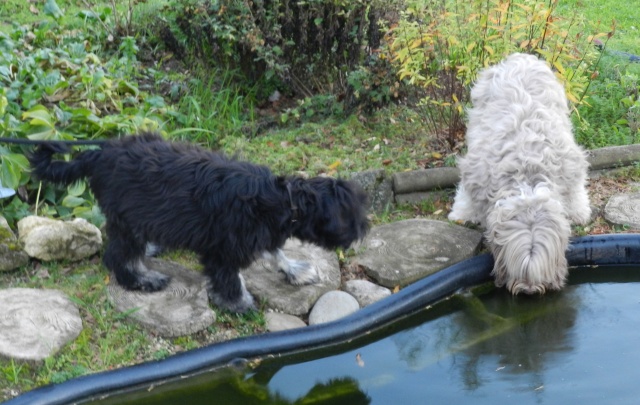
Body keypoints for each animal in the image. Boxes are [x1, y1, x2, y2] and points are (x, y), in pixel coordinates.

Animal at [30, 134, 370, 310]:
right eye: (350, 215)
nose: (364, 230)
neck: (282, 199)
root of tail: (97, 154)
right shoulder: (224, 247)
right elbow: (229, 277)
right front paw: (239, 304)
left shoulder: (255, 235)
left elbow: (275, 252)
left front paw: (295, 270)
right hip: (129, 217)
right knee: (117, 255)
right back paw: (142, 280)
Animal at [450, 52, 592, 294]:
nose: (529, 290)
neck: (528, 174)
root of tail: (520, 57)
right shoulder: (476, 172)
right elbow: (467, 194)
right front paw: (463, 213)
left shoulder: (571, 165)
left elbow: (575, 190)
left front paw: (578, 211)